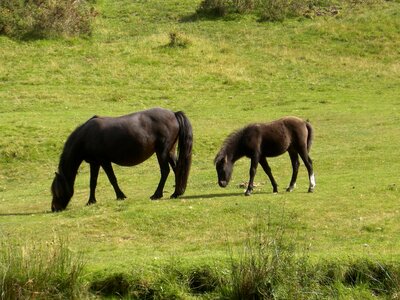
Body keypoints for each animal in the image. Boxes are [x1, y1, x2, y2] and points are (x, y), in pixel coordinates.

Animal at [50, 107, 194, 211]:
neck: (86, 136)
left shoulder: (104, 161)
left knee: (165, 171)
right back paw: (176, 193)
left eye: (56, 191)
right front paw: (91, 201)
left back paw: (157, 194)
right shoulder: (94, 163)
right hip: (170, 151)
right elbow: (93, 182)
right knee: (177, 169)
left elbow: (112, 179)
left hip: (162, 152)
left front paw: (120, 196)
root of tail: (173, 114)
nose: (54, 208)